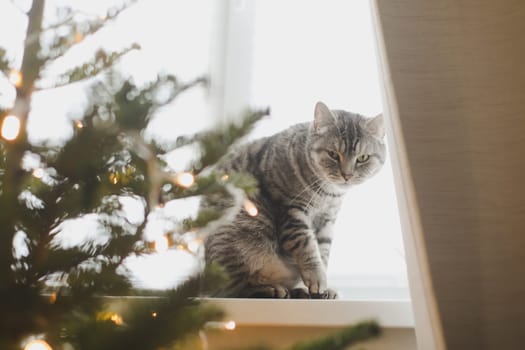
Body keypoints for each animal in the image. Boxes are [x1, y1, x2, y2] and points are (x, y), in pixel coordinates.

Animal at [204, 100, 384, 298]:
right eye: (333, 154)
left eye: (363, 158)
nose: (347, 175)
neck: (329, 194)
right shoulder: (291, 210)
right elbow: (307, 245)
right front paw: (317, 277)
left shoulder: (327, 220)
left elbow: (323, 250)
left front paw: (321, 288)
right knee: (235, 288)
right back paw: (271, 289)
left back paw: (298, 291)